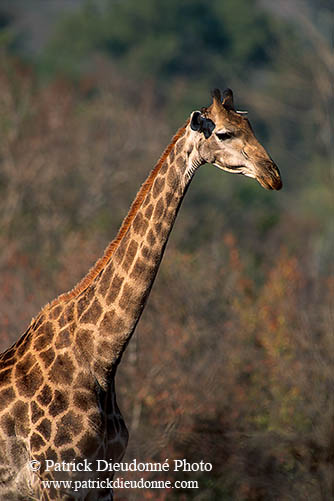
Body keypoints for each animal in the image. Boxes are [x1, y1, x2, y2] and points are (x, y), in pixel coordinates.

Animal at [0, 88, 282, 498]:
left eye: (252, 126)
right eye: (224, 133)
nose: (272, 175)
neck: (100, 359)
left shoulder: (102, 479)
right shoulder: (54, 480)